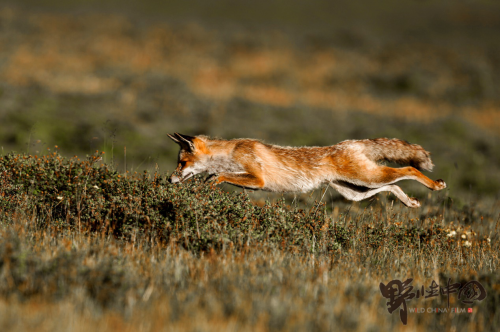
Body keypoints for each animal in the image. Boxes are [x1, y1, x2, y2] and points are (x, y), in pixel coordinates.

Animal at [168, 133, 446, 208]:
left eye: (181, 164)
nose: (170, 179)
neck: (231, 153)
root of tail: (351, 142)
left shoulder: (258, 179)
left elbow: (223, 176)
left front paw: (212, 181)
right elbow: (217, 175)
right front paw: (208, 181)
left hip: (368, 179)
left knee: (408, 168)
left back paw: (436, 185)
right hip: (356, 191)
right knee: (393, 186)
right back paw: (410, 202)